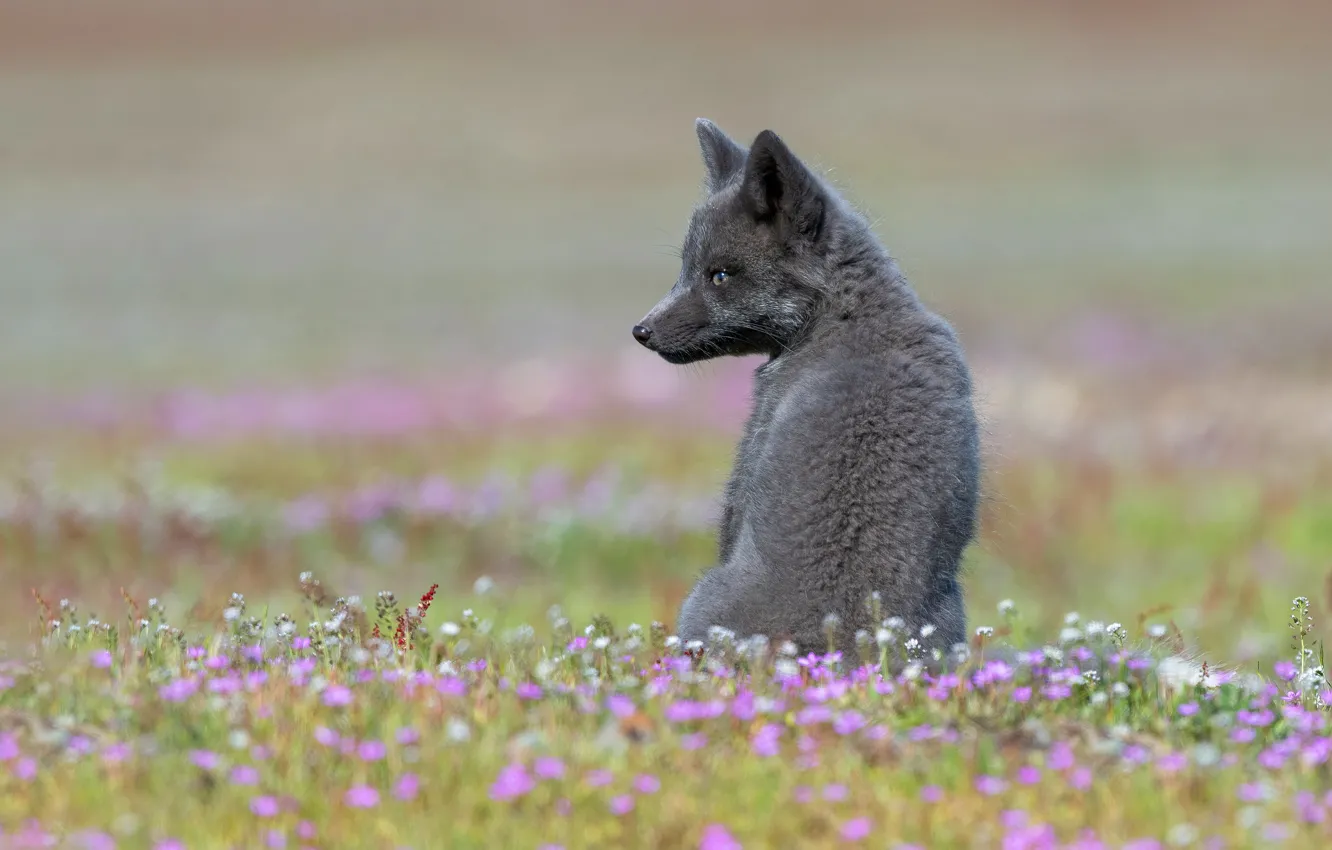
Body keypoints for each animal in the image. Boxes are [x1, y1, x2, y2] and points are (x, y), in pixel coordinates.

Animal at [632, 118, 982, 663]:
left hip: (700, 598)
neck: (845, 318)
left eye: (720, 274)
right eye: (684, 268)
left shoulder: (749, 458)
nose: (641, 331)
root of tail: (837, 649)